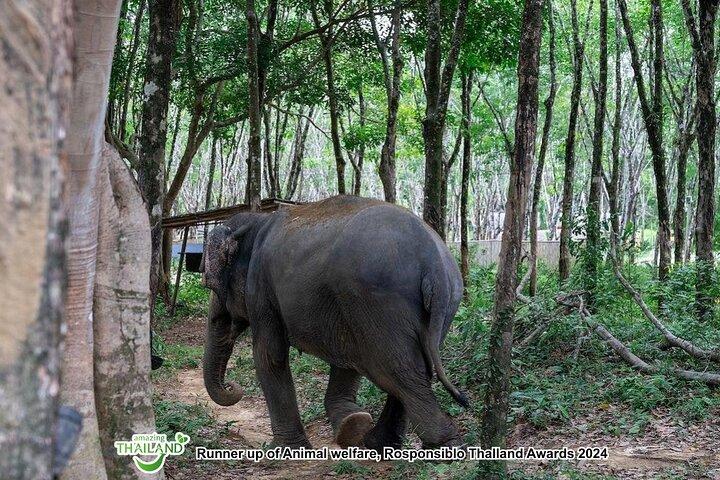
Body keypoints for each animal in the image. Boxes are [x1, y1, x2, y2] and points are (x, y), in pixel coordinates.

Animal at [200, 195, 468, 450]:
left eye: (209, 284)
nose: (232, 387)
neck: (257, 221)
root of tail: (434, 263)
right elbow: (347, 354)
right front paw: (352, 424)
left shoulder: (261, 289)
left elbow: (269, 356)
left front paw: (284, 449)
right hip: (440, 305)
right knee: (416, 366)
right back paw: (380, 443)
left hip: (377, 299)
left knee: (398, 370)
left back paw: (441, 445)